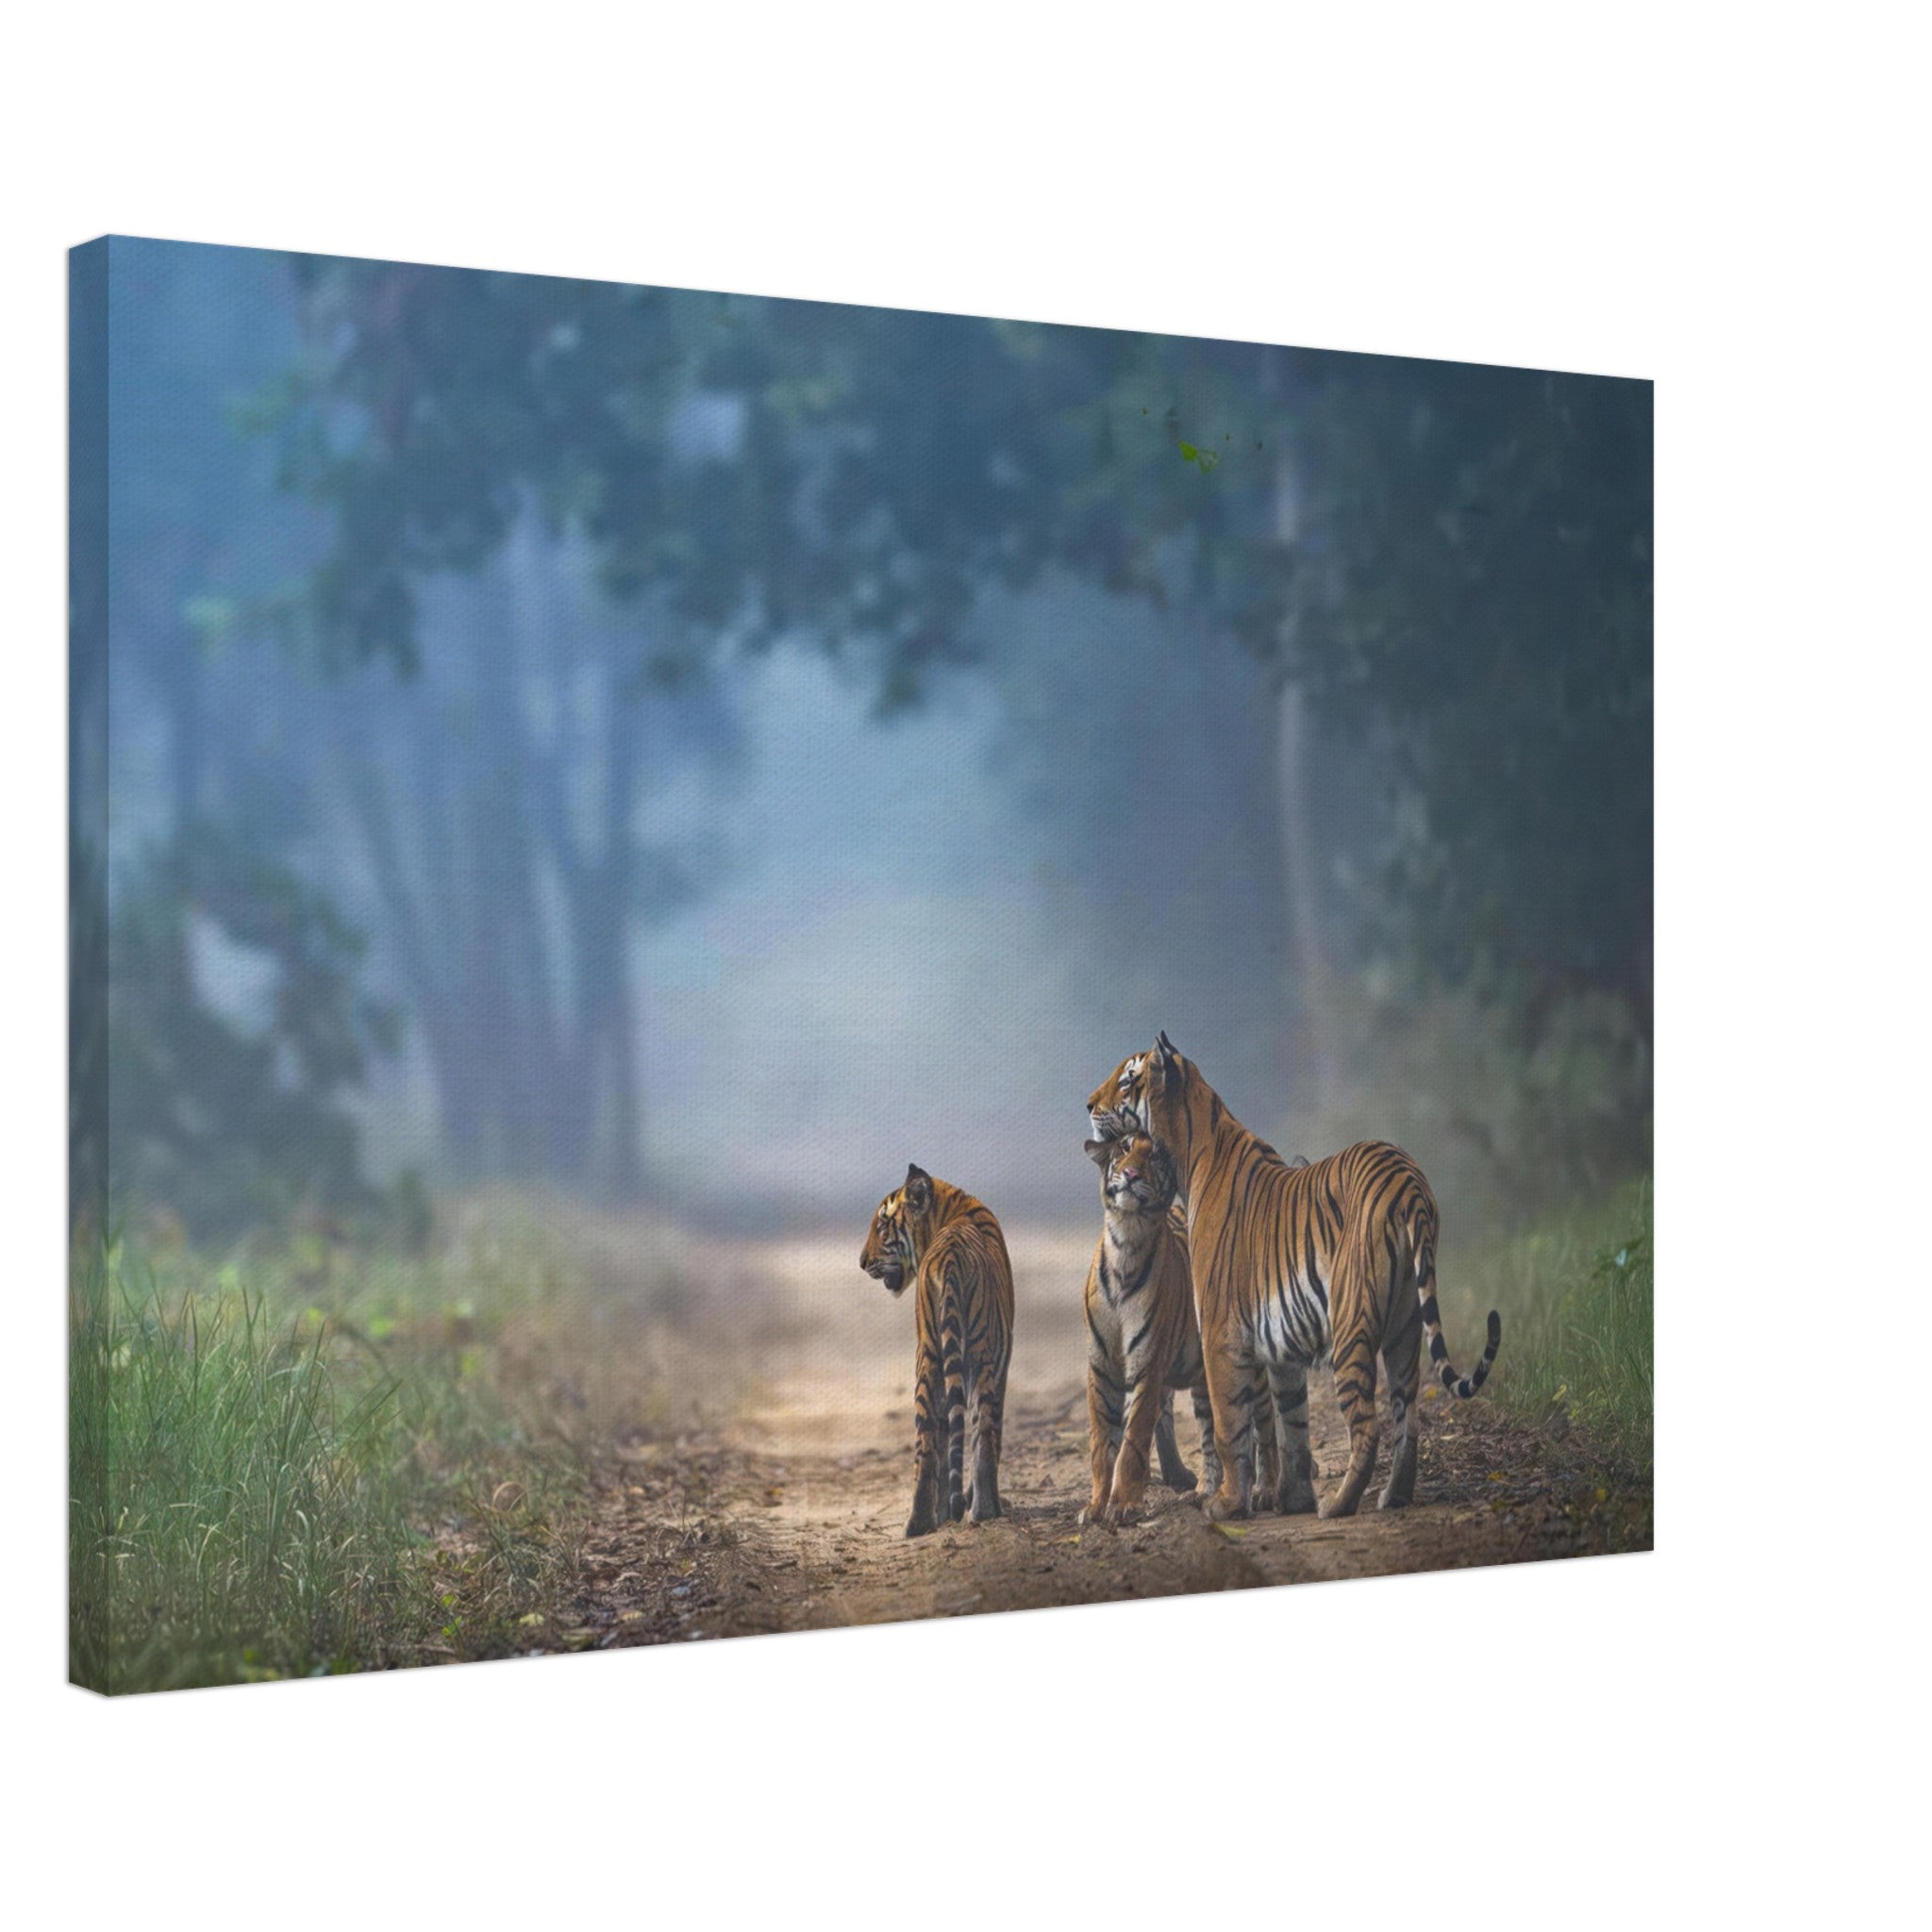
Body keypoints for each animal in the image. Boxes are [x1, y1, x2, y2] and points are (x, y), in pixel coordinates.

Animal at [860, 1164, 1016, 1538]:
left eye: (881, 1228)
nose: (862, 1262)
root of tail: (949, 1256)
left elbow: (947, 1437)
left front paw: (946, 1511)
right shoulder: (1001, 1363)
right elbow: (989, 1434)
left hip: (928, 1357)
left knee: (927, 1442)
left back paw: (918, 1523)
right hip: (980, 1356)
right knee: (982, 1432)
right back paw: (985, 1510)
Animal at [1087, 1032, 1500, 1521]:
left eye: (1127, 1079)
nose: (1088, 1104)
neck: (1194, 1144)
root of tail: (1407, 1180)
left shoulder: (1221, 1333)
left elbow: (1230, 1425)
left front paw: (1228, 1504)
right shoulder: (1280, 1343)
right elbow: (1292, 1424)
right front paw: (1293, 1499)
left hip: (1351, 1321)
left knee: (1368, 1425)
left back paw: (1339, 1504)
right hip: (1405, 1325)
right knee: (1407, 1418)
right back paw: (1393, 1495)